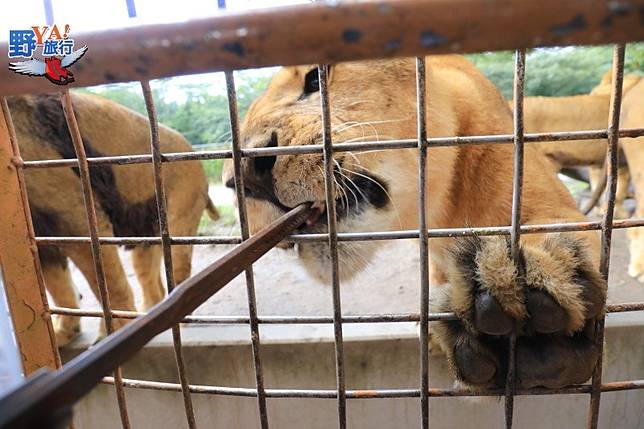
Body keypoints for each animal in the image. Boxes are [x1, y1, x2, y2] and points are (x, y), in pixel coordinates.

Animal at [8, 91, 219, 344]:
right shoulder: (39, 233)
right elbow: (58, 287)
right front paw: (61, 333)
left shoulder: (73, 212)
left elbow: (108, 284)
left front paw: (117, 334)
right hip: (146, 238)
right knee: (153, 285)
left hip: (181, 219)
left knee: (179, 278)